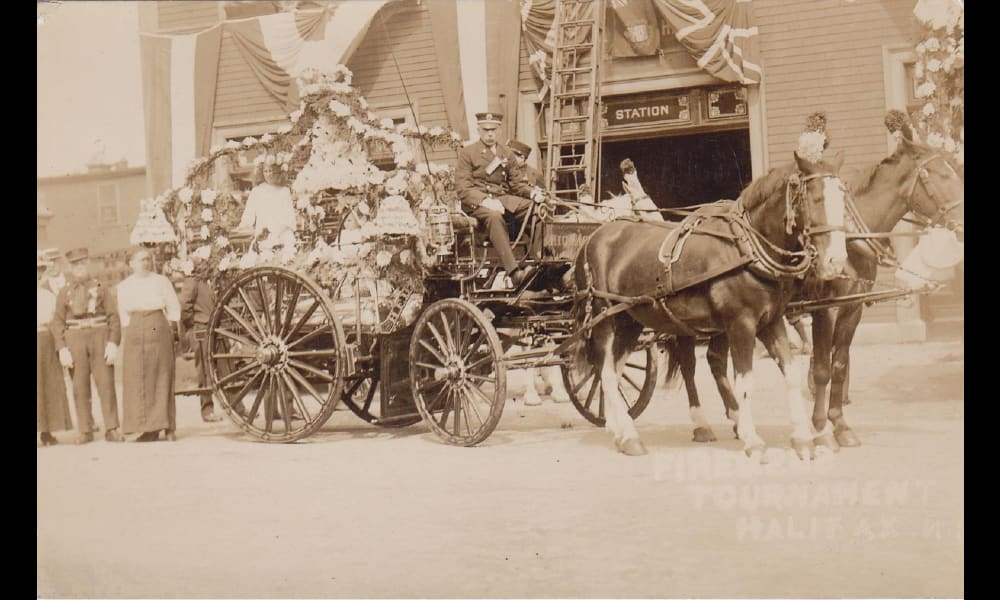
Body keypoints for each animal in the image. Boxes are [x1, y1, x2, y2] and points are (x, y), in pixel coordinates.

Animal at [576, 152, 848, 458]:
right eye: (815, 198)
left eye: (843, 198)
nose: (836, 262)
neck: (747, 249)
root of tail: (592, 238)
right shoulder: (741, 324)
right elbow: (744, 381)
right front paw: (753, 440)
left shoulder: (771, 321)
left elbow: (790, 374)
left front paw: (802, 438)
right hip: (604, 318)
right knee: (606, 372)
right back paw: (630, 437)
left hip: (629, 320)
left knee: (612, 369)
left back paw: (619, 430)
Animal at [668, 118, 964, 446]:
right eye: (941, 175)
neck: (849, 238)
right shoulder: (826, 308)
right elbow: (822, 368)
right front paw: (821, 427)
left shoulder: (851, 309)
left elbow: (839, 365)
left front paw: (840, 424)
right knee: (689, 362)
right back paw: (702, 423)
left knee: (715, 360)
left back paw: (734, 417)